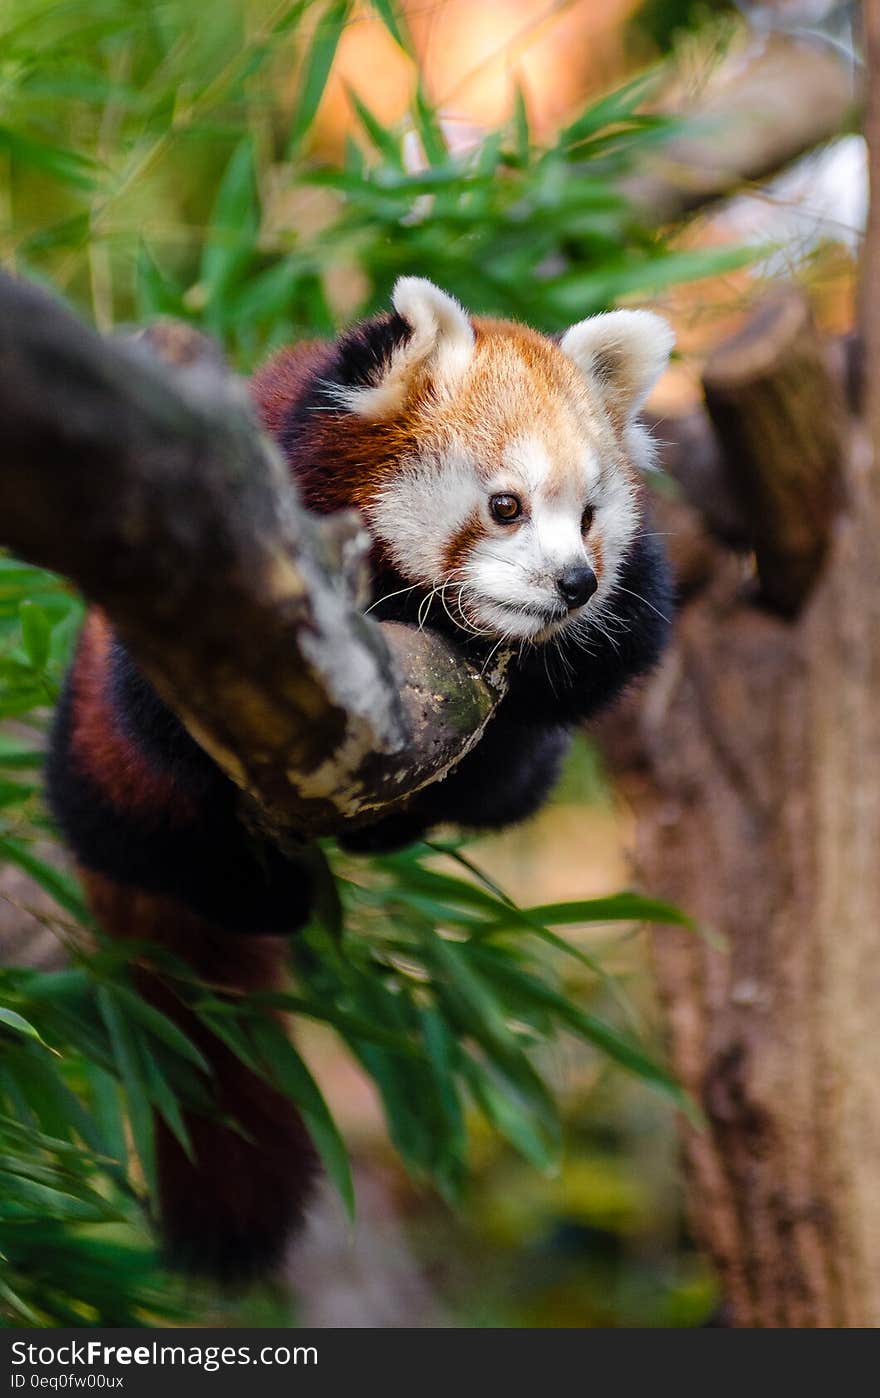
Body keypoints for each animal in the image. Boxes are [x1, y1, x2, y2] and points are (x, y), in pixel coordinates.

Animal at [46, 278, 671, 1280]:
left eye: (588, 518)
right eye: (505, 506)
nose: (575, 583)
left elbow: (604, 660)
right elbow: (174, 714)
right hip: (104, 765)